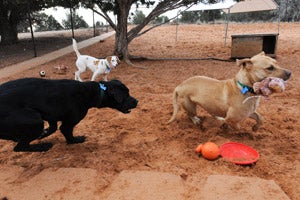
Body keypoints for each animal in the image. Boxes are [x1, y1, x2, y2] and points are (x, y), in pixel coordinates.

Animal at [0, 78, 138, 152]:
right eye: (126, 95)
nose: (137, 101)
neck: (96, 91)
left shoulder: (51, 116)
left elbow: (52, 128)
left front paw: (43, 134)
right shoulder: (68, 123)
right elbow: (67, 133)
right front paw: (75, 140)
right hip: (35, 120)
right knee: (19, 147)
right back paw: (43, 147)